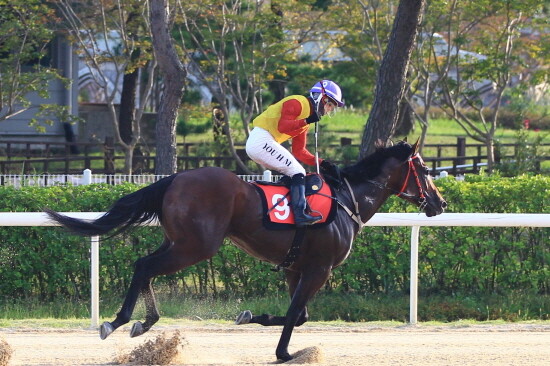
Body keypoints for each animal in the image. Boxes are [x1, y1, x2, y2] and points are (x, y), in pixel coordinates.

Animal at [45, 139, 446, 360]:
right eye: (426, 169)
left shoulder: (296, 268)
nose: (439, 203)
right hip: (196, 246)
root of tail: (176, 176)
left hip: (178, 240)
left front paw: (249, 316)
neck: (347, 200)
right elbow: (295, 315)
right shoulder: (318, 269)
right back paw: (120, 321)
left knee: (145, 266)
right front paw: (284, 353)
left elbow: (298, 315)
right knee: (144, 266)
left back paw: (144, 321)